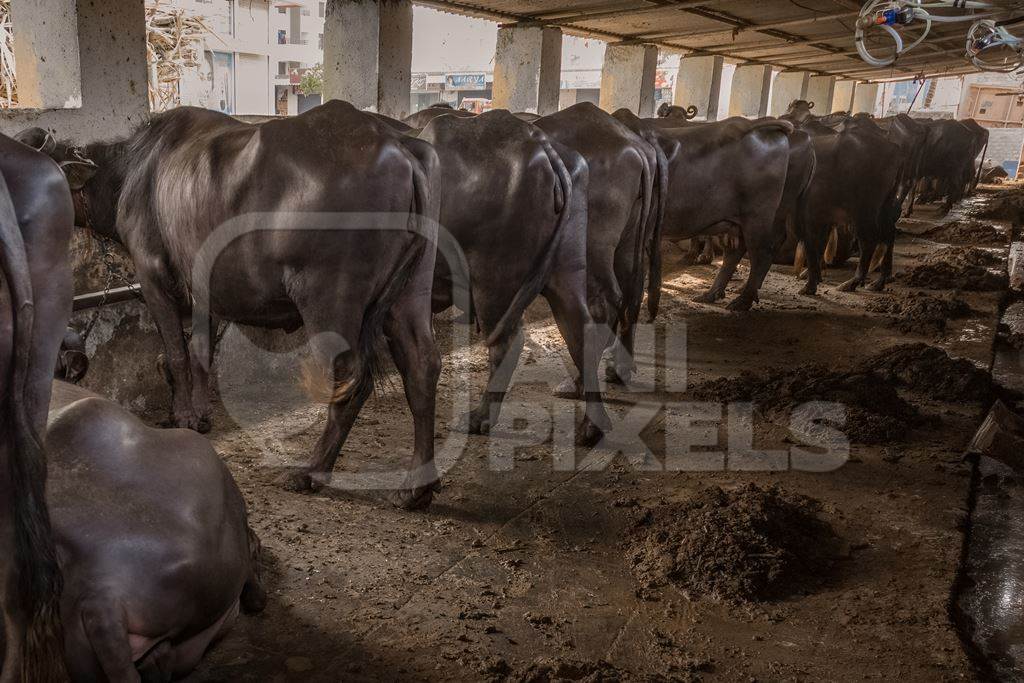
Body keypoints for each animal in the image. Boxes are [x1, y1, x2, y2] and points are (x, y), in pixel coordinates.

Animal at [415, 110, 606, 446]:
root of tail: (541, 144)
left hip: (493, 280)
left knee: (507, 342)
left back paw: (479, 417)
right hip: (565, 272)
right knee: (580, 331)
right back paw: (590, 427)